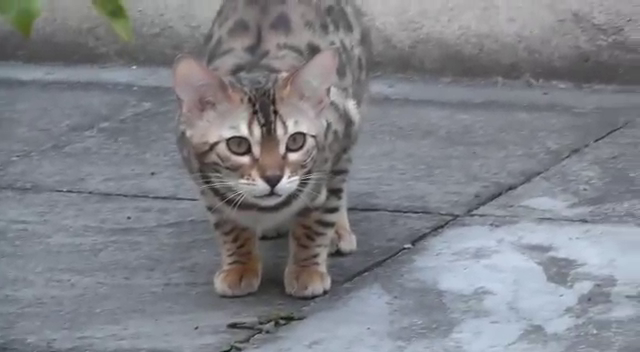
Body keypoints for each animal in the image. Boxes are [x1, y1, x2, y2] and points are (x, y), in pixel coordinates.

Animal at [171, 0, 370, 300]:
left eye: (296, 141)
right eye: (238, 145)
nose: (273, 178)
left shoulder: (342, 134)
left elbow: (317, 218)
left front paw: (306, 268)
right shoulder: (201, 175)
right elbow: (229, 225)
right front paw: (240, 266)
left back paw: (337, 231)